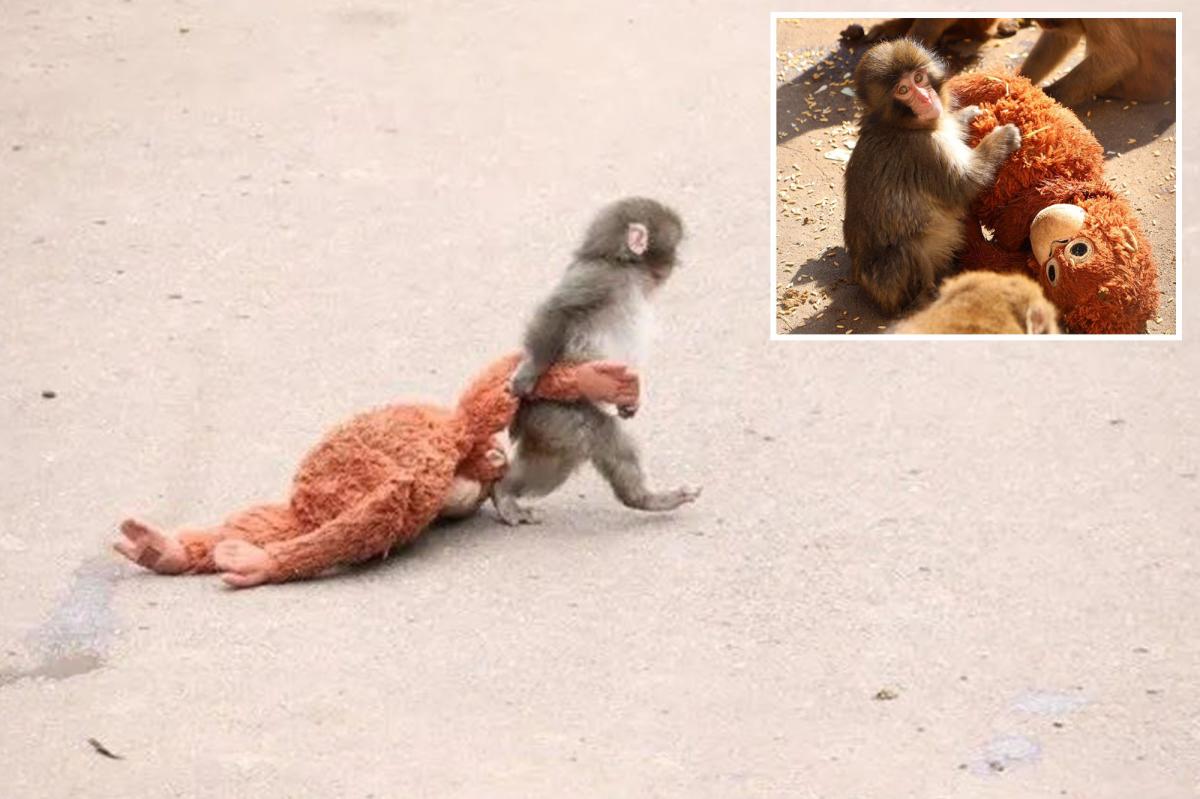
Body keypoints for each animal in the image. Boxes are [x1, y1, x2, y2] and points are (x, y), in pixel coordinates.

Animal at [492, 197, 701, 525]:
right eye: (674, 247)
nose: (677, 263)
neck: (623, 266)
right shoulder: (600, 278)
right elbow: (558, 311)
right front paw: (529, 371)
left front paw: (629, 403)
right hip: (555, 411)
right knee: (591, 439)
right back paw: (504, 493)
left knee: (565, 459)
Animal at [843, 39, 1022, 315]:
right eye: (903, 89)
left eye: (919, 78)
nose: (926, 98)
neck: (901, 125)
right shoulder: (924, 150)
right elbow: (965, 183)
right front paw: (1002, 138)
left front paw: (966, 115)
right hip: (890, 284)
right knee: (907, 249)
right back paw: (927, 297)